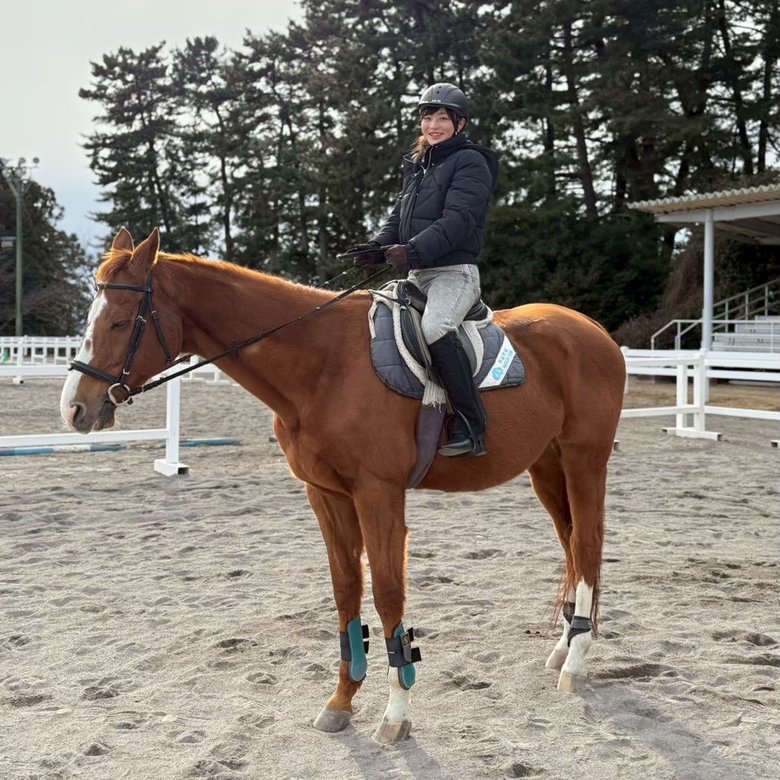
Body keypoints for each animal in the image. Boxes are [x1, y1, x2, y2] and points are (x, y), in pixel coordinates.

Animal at [60, 227, 626, 744]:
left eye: (119, 321)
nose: (75, 409)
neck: (321, 364)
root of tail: (594, 331)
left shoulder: (379, 495)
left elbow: (388, 594)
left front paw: (395, 715)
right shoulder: (326, 496)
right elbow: (346, 591)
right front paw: (340, 702)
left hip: (584, 461)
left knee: (587, 545)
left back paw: (575, 663)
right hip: (546, 468)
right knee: (571, 546)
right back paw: (561, 649)